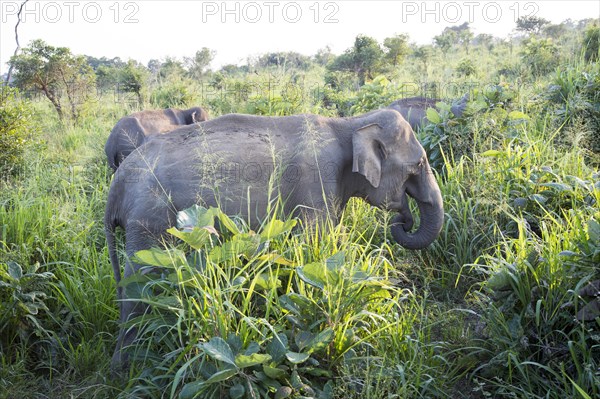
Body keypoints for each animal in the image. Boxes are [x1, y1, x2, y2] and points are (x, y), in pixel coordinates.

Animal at [106, 108, 446, 368]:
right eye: (419, 164)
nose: (404, 219)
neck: (349, 123)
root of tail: (117, 182)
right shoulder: (316, 181)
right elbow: (312, 250)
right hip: (150, 219)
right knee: (140, 281)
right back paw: (126, 367)